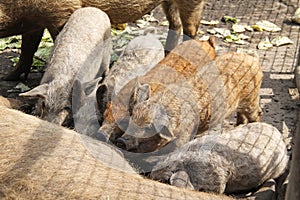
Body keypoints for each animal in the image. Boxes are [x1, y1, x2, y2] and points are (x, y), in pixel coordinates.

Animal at [1, 0, 205, 81]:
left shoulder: (62, 13)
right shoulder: (34, 23)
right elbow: (27, 48)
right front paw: (9, 77)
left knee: (191, 28)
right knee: (175, 25)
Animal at [115, 48, 262, 153]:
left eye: (148, 128)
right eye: (132, 118)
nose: (121, 141)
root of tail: (252, 58)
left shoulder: (185, 134)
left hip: (251, 98)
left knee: (258, 112)